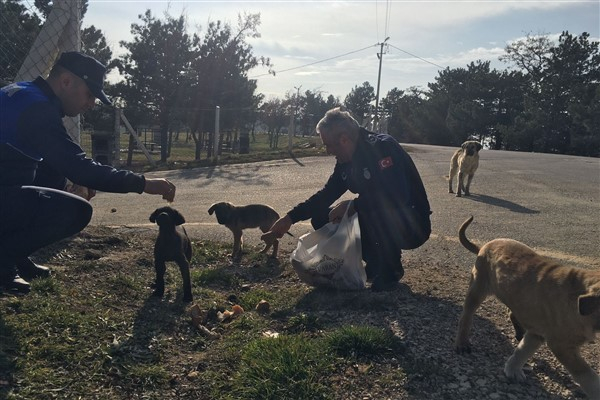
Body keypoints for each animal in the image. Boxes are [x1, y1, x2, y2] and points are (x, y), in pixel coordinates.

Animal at [454, 217, 600, 398]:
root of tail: (484, 246)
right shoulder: (561, 346)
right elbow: (588, 376)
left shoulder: (537, 334)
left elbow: (522, 351)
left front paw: (512, 369)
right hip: (477, 290)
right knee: (466, 317)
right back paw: (462, 343)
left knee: (512, 314)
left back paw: (518, 332)